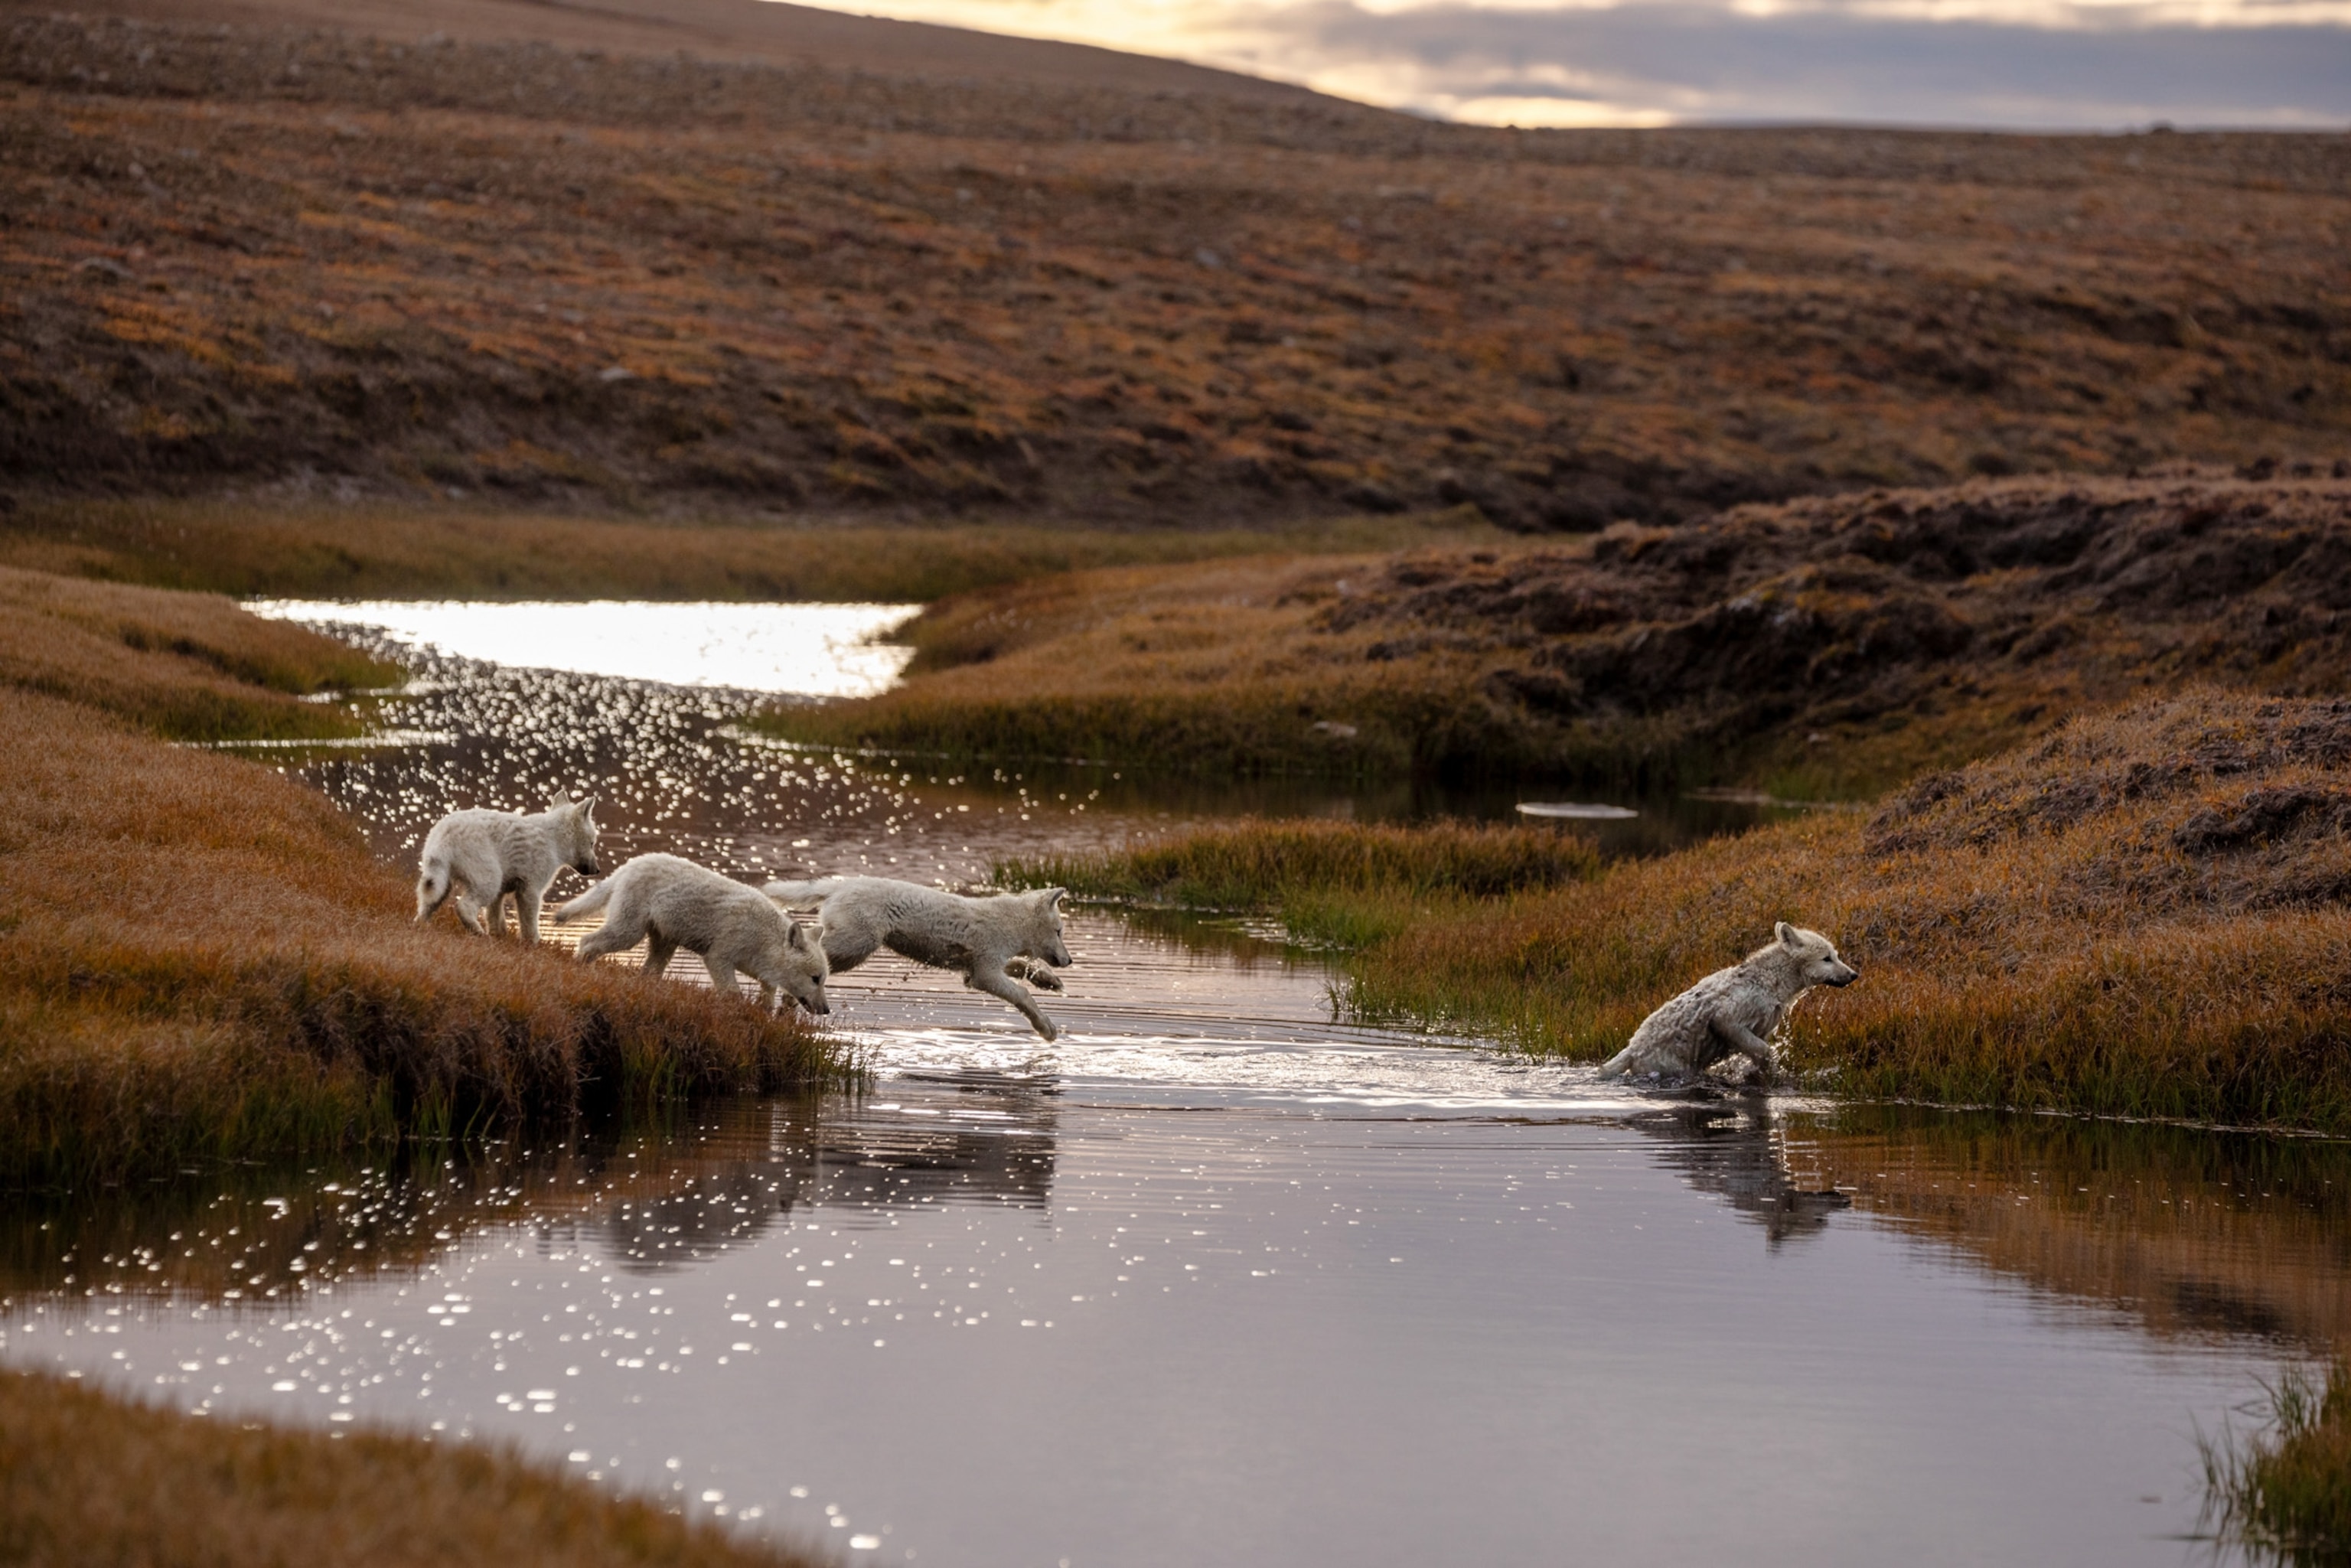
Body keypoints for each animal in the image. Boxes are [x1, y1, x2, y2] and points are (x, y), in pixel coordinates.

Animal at [414, 794, 601, 943]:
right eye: (592, 843)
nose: (597, 870)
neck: (554, 840)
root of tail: (443, 837)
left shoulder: (503, 889)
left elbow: (495, 915)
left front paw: (500, 936)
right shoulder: (530, 888)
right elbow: (529, 921)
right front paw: (533, 943)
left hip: (440, 877)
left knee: (428, 902)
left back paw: (421, 925)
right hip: (489, 878)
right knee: (464, 907)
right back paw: (478, 932)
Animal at [557, 853, 831, 1015]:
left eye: (823, 980)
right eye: (815, 978)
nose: (827, 1010)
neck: (762, 939)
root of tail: (631, 863)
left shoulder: (761, 975)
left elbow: (766, 1000)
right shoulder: (717, 958)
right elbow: (734, 995)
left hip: (663, 945)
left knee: (648, 972)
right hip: (628, 933)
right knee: (587, 942)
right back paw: (580, 973)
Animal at [761, 876, 1073, 1039]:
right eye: (1059, 931)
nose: (1069, 961)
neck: (1012, 924)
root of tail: (839, 886)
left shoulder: (975, 970)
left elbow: (1022, 966)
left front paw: (1049, 981)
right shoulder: (985, 973)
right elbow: (1022, 995)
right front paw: (1046, 1028)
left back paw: (787, 1005)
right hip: (856, 944)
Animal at [1598, 923, 1859, 1083]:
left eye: (1836, 955)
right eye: (1826, 958)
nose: (1853, 975)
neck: (1773, 982)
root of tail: (1632, 1049)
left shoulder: (1765, 1023)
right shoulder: (1728, 1016)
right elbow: (1760, 1048)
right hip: (1668, 1064)